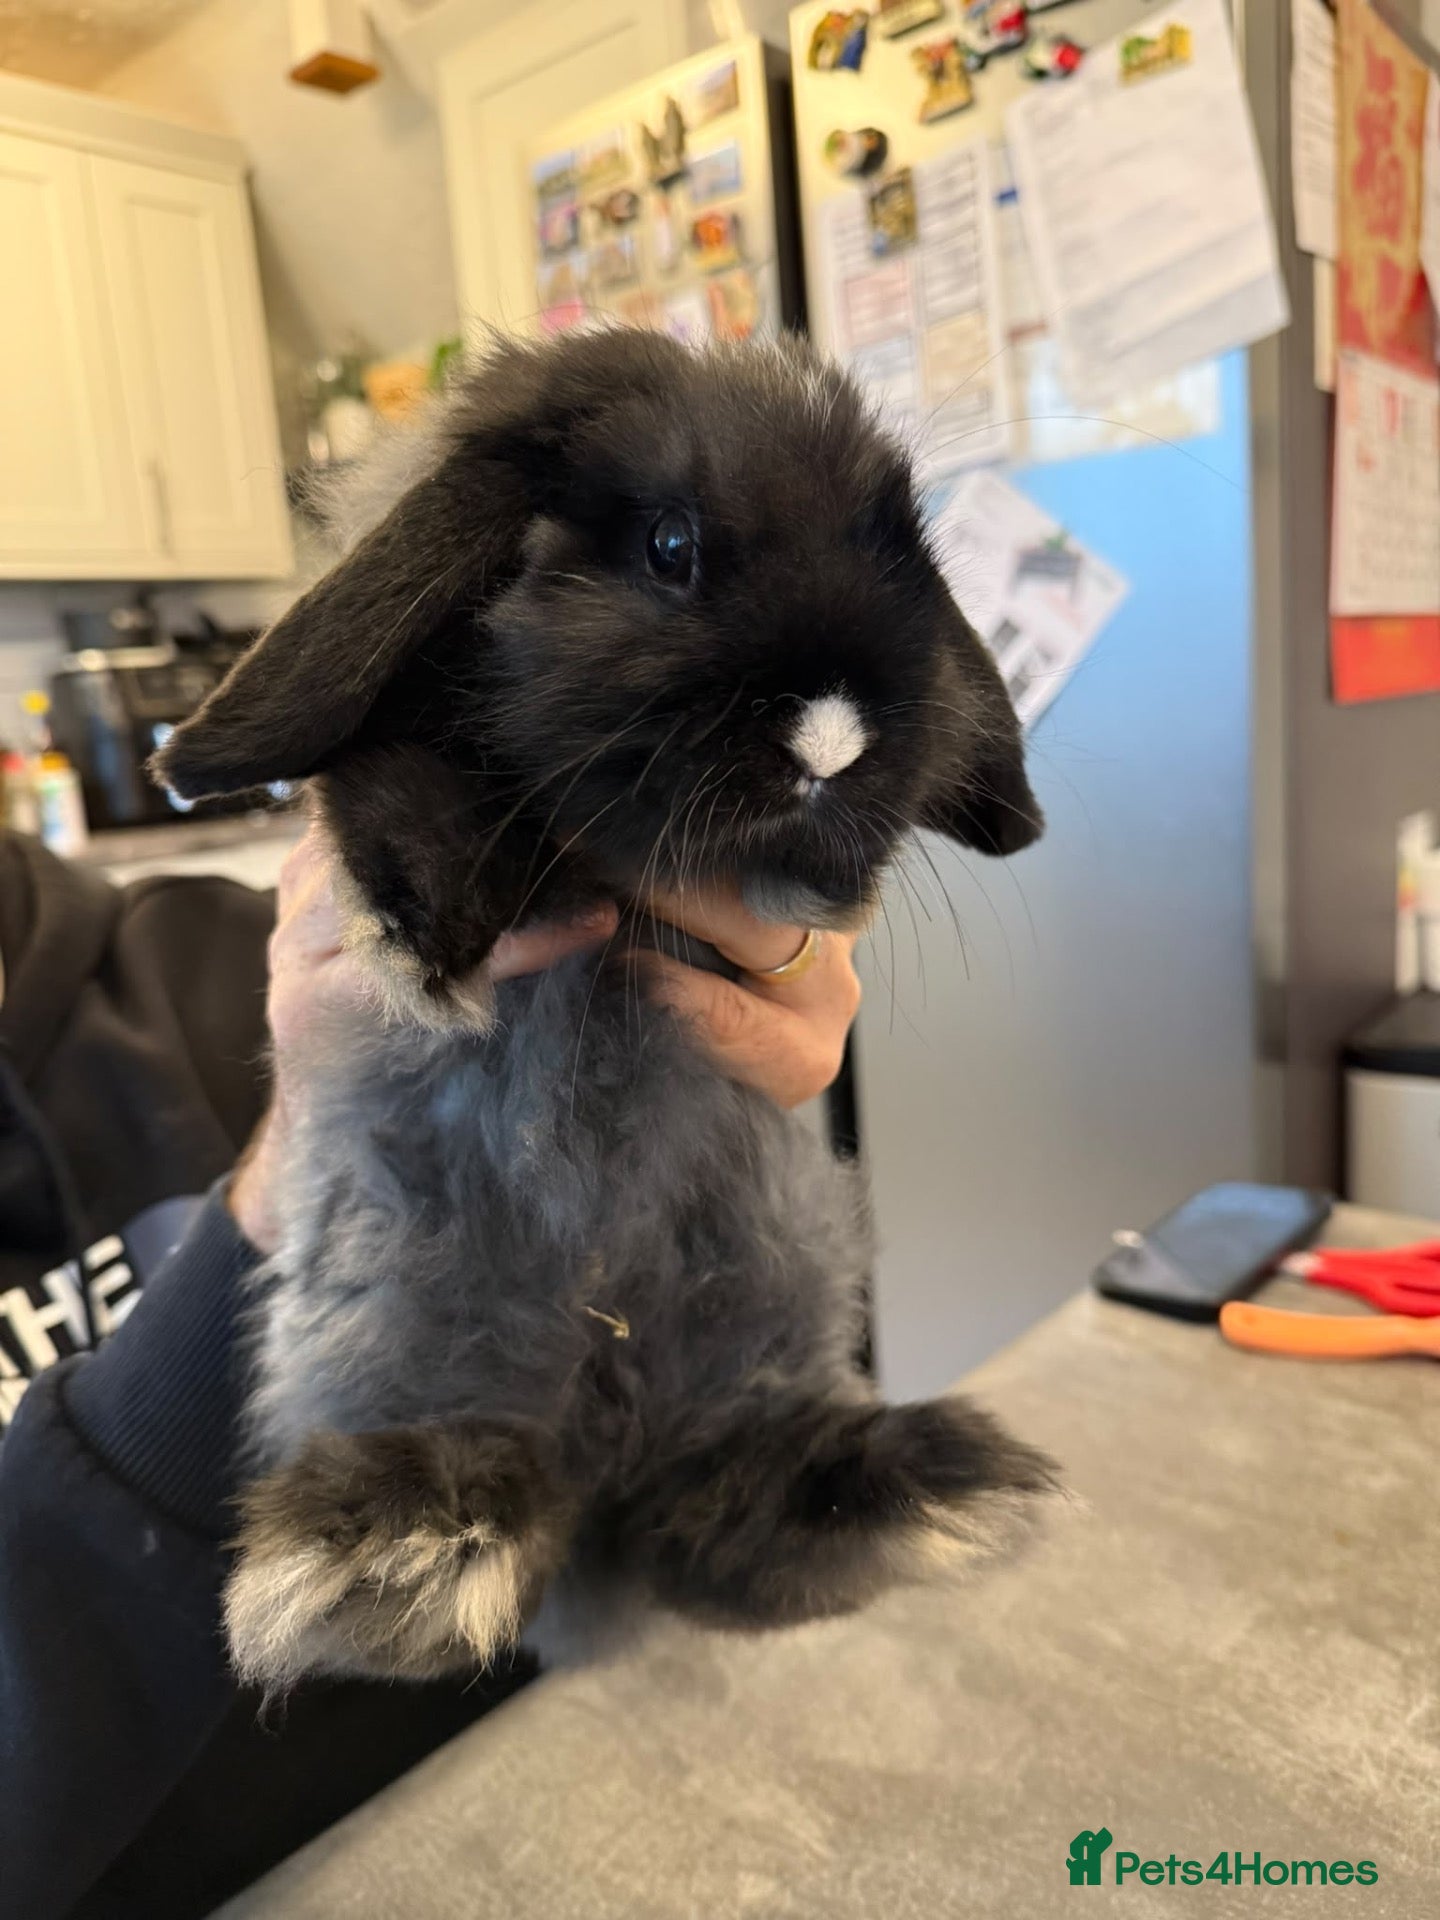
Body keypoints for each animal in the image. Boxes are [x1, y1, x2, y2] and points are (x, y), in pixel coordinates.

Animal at [156, 328, 1057, 1691]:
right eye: (669, 546)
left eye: (900, 548)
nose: (834, 738)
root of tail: (605, 1454)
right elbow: (400, 785)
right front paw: (430, 937)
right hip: (405, 1291)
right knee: (478, 1453)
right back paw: (399, 1550)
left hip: (768, 1277)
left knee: (724, 1489)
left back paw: (909, 1488)